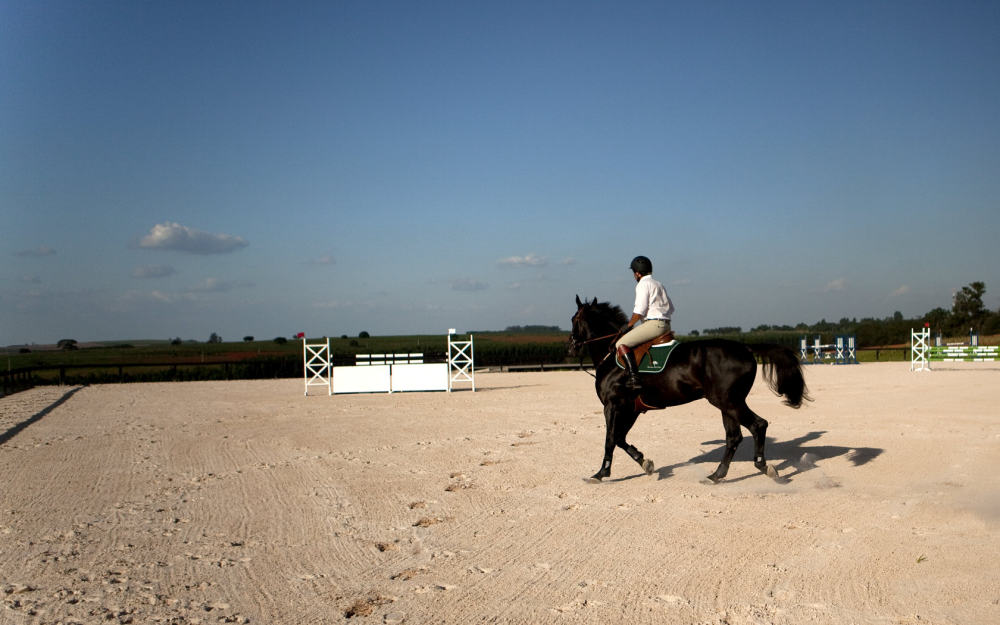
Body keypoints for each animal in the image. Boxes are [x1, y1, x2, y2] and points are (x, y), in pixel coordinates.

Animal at [568, 296, 808, 482]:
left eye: (574, 319)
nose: (570, 347)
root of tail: (745, 348)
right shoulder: (631, 409)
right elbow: (619, 438)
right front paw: (645, 463)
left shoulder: (613, 406)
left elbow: (610, 439)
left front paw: (601, 473)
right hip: (727, 404)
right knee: (734, 437)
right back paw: (717, 475)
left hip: (728, 401)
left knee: (758, 425)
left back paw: (763, 467)